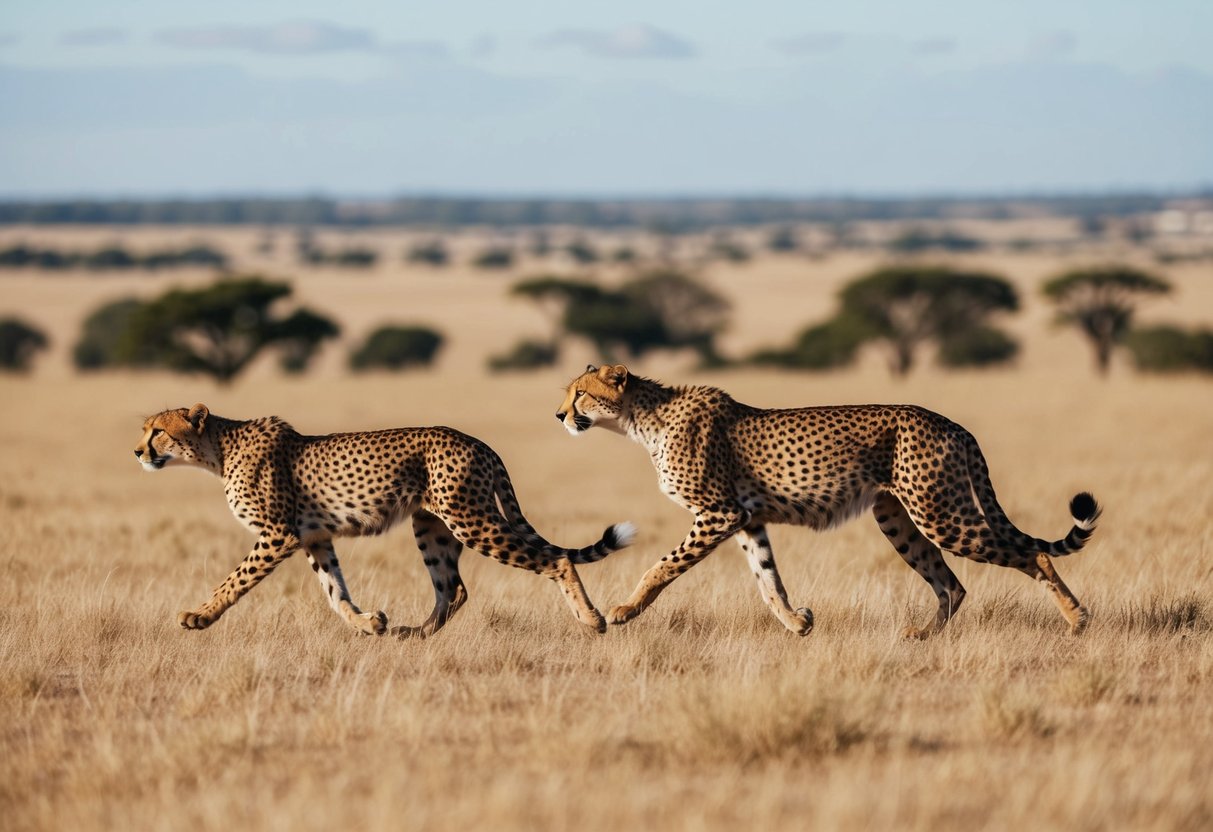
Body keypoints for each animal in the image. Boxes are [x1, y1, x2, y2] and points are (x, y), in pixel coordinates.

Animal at [134, 404, 636, 637]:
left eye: (158, 430)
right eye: (145, 430)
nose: (137, 451)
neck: (218, 450)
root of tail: (474, 440)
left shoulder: (278, 535)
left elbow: (234, 579)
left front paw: (200, 615)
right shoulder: (315, 537)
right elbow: (334, 590)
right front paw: (367, 623)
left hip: (471, 520)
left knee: (555, 561)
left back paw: (592, 619)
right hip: (432, 527)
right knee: (453, 588)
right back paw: (414, 634)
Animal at [556, 364, 1102, 638]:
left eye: (580, 393)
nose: (559, 415)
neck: (642, 419)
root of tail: (949, 422)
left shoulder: (718, 513)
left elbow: (662, 566)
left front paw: (625, 610)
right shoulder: (747, 519)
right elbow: (767, 579)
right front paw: (797, 622)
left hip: (940, 514)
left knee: (1031, 555)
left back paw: (1077, 620)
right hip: (896, 516)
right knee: (952, 584)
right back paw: (923, 637)